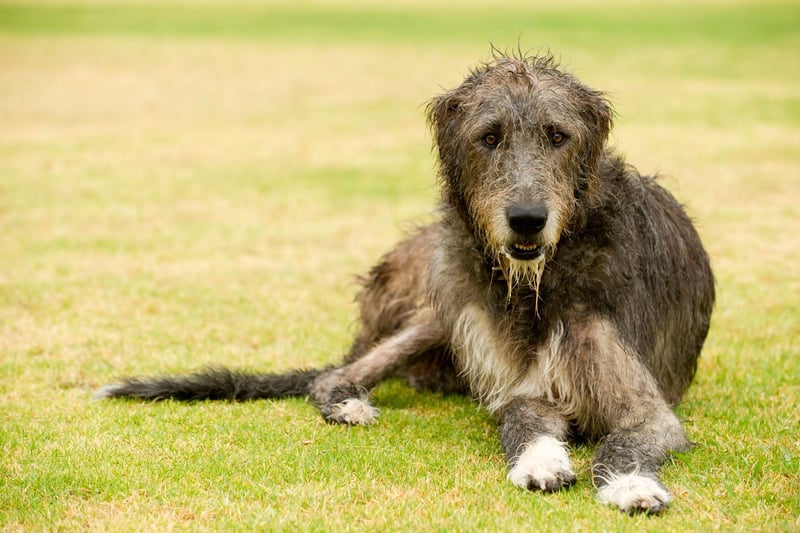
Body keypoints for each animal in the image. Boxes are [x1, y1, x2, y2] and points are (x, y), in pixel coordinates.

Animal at [97, 52, 716, 512]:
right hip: (438, 309)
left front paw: (631, 486)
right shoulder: (523, 386)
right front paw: (540, 463)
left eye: (558, 135)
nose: (526, 219)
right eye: (490, 137)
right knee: (332, 376)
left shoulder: (642, 402)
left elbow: (625, 438)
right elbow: (520, 420)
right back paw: (348, 404)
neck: (536, 282)